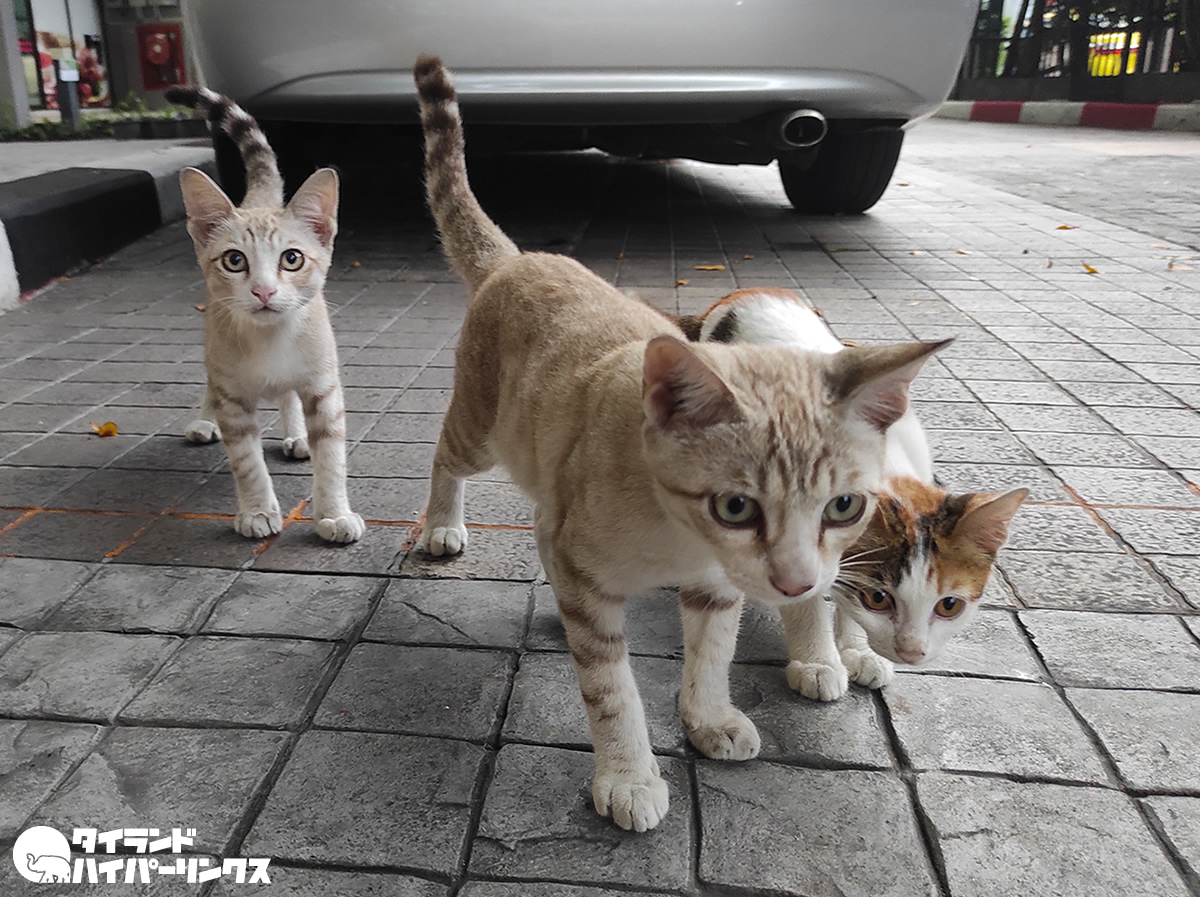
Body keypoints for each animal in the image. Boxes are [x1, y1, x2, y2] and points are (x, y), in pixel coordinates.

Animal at [163, 87, 364, 542]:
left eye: (292, 259)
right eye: (235, 260)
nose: (264, 290)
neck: (271, 341)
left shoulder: (323, 384)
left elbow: (332, 454)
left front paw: (334, 512)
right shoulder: (232, 397)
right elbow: (247, 460)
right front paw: (256, 509)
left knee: (289, 395)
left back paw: (296, 433)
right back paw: (204, 421)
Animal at [412, 52, 945, 829]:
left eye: (844, 507)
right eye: (736, 506)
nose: (798, 583)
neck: (678, 539)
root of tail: (523, 255)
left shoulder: (717, 589)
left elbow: (712, 656)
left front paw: (709, 718)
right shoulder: (588, 580)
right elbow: (612, 690)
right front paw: (629, 775)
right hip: (481, 428)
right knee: (445, 456)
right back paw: (440, 524)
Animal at [691, 287, 1027, 700]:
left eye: (949, 605)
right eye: (880, 598)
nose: (911, 651)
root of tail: (750, 291)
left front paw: (858, 651)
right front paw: (818, 662)